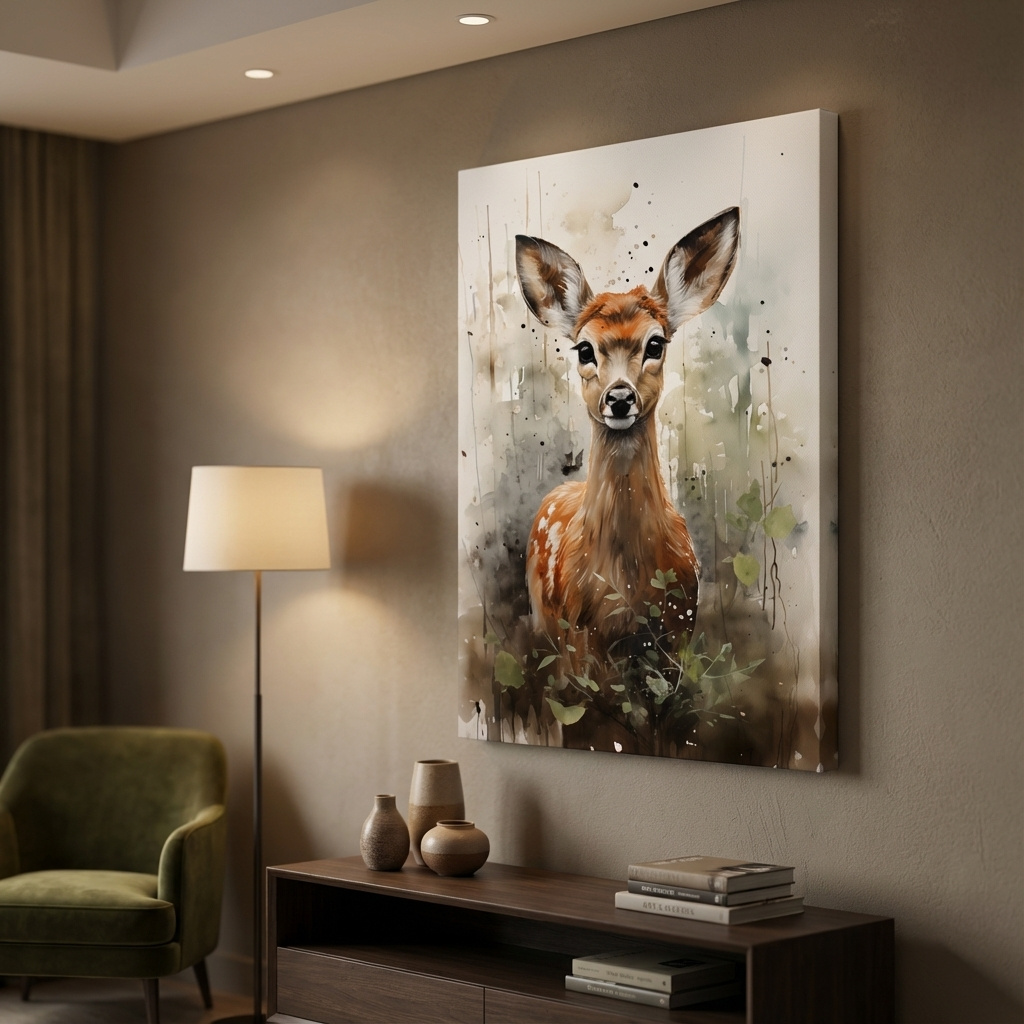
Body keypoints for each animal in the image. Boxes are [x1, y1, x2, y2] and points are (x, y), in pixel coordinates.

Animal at [516, 207, 740, 669]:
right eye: (584, 350)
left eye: (655, 343)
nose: (619, 398)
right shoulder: (578, 639)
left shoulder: (679, 627)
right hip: (545, 622)